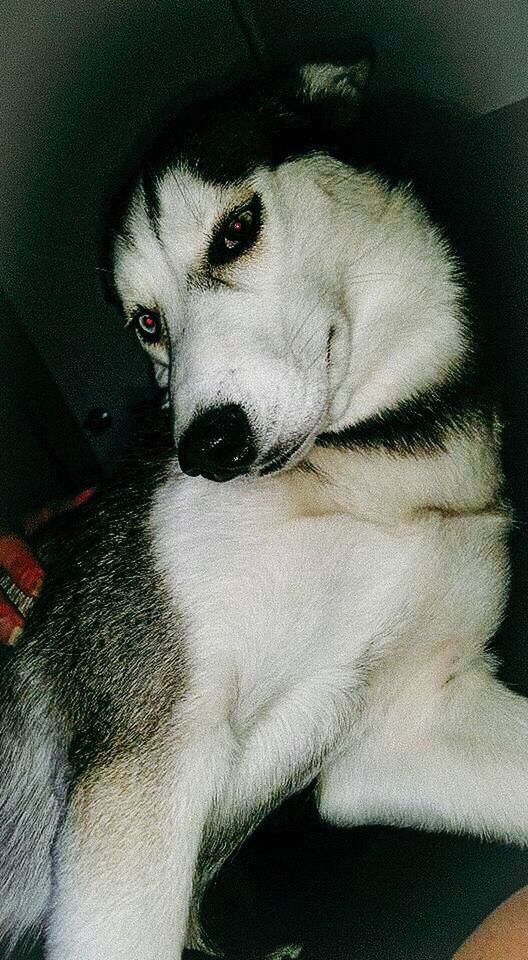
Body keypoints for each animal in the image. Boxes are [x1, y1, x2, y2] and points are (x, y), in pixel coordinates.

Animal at [1, 62, 528, 960]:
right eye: (148, 323)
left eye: (236, 231)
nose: (207, 446)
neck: (366, 478)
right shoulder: (145, 761)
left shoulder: (407, 722)